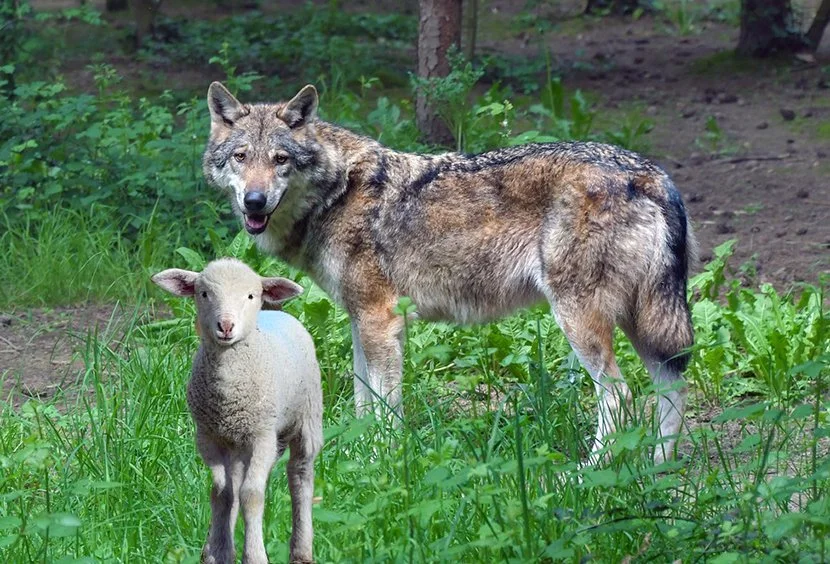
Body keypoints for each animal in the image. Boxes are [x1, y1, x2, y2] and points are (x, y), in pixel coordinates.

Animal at [152, 258, 323, 564]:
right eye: (204, 294)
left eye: (251, 295)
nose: (226, 325)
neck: (228, 393)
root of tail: (279, 313)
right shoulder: (208, 437)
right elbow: (222, 493)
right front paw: (218, 552)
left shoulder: (262, 435)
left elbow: (252, 495)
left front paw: (255, 555)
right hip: (238, 443)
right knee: (235, 484)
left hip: (306, 418)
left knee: (300, 474)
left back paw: (302, 550)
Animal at [202, 82, 696, 464]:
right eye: (241, 157)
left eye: (280, 159)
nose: (254, 201)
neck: (338, 193)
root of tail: (652, 175)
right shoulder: (361, 322)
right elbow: (364, 403)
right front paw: (357, 461)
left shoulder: (381, 321)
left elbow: (385, 409)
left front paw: (383, 462)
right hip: (643, 322)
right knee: (672, 386)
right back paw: (658, 469)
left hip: (581, 321)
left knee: (620, 395)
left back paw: (584, 475)